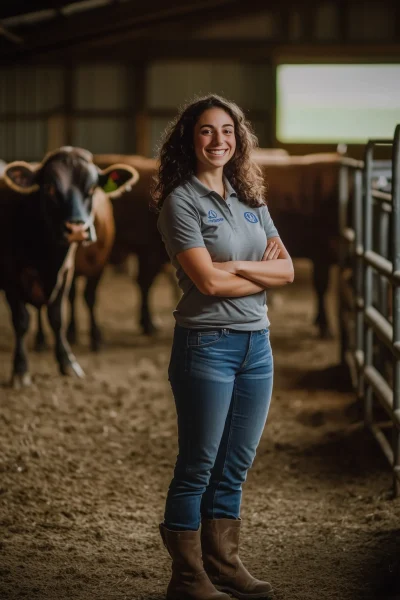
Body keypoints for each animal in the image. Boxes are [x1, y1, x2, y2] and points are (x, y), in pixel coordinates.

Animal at [0, 148, 138, 386]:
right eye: (49, 187)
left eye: (92, 188)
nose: (77, 229)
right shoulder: (11, 278)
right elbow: (21, 321)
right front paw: (20, 368)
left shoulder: (65, 274)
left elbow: (57, 319)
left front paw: (67, 362)